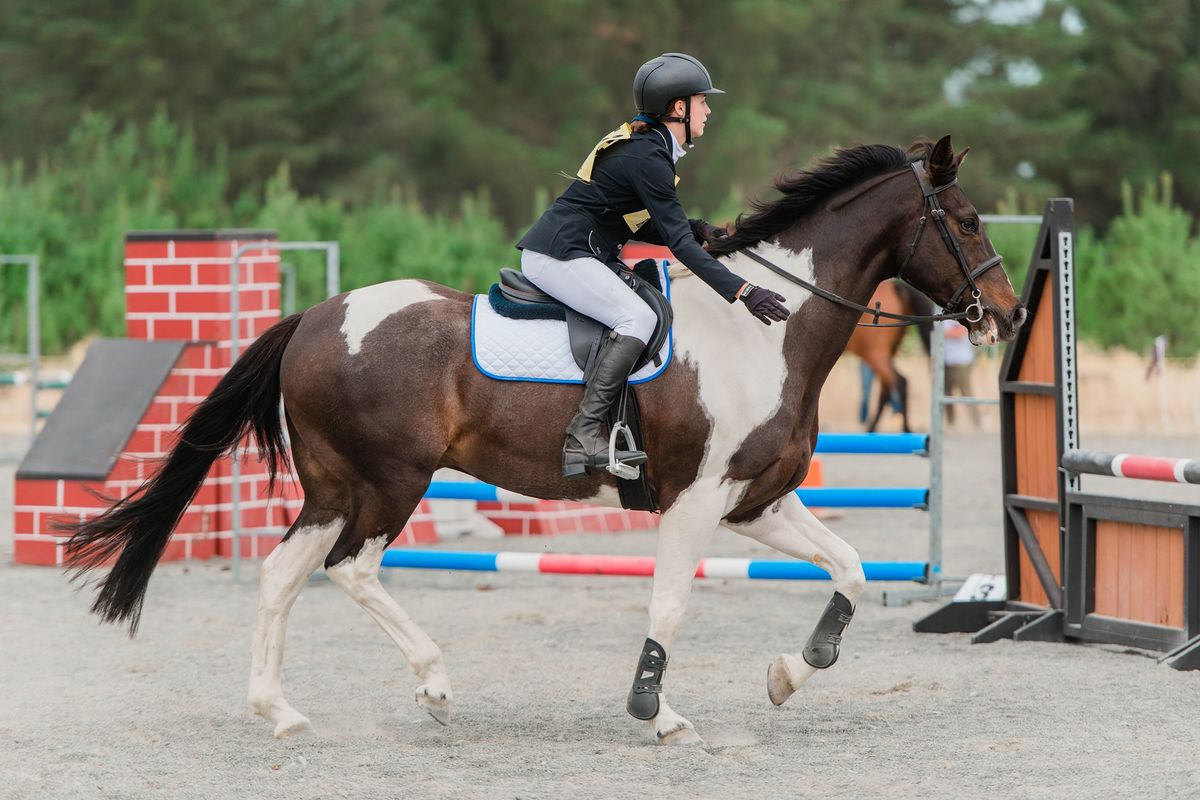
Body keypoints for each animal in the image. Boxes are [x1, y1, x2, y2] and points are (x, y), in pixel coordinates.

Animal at [63, 136, 1022, 743]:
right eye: (970, 221)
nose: (1007, 316)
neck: (767, 330)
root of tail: (316, 318)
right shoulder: (697, 501)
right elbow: (669, 605)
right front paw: (657, 714)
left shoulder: (758, 501)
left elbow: (850, 568)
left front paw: (793, 671)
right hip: (391, 482)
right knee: (352, 569)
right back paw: (435, 683)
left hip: (335, 487)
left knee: (281, 574)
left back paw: (281, 712)